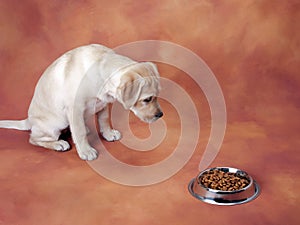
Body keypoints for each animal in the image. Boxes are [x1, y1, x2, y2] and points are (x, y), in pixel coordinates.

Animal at [0, 44, 163, 160]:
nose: (160, 115)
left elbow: (104, 120)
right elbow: (79, 132)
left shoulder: (103, 104)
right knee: (34, 139)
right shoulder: (75, 109)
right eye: (147, 99)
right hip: (55, 124)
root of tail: (29, 120)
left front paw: (108, 133)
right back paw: (58, 143)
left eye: (157, 96)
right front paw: (86, 151)